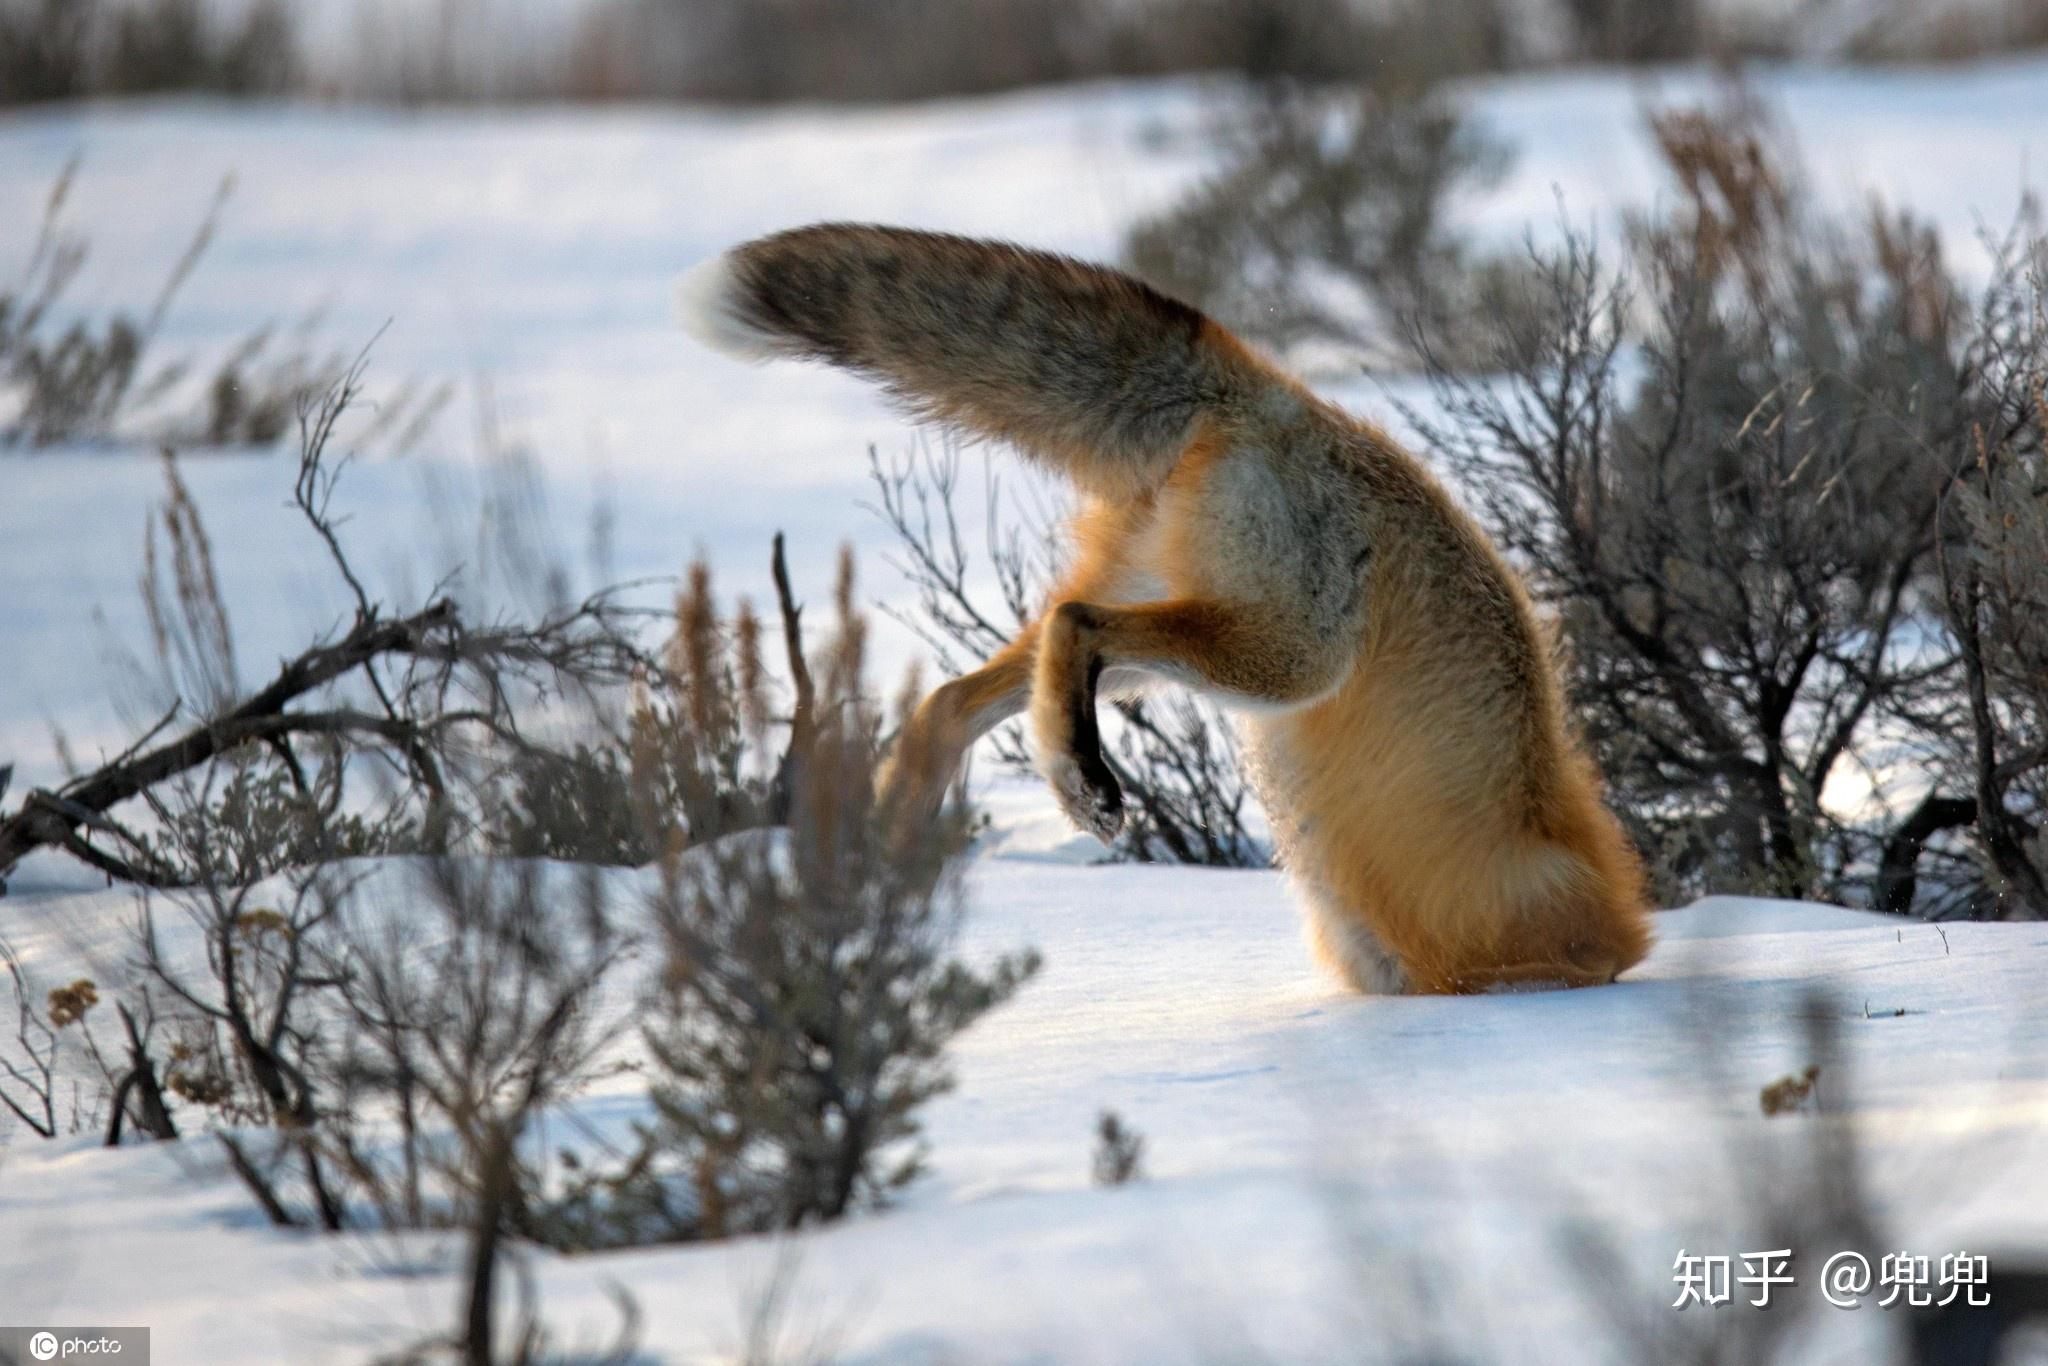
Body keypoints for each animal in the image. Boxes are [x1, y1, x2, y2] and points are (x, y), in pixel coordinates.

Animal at [679, 222, 1654, 995]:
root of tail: (1288, 398)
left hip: (1174, 630)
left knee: (952, 699)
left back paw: (891, 861)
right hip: (1289, 655)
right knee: (1074, 623)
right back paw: (1071, 785)